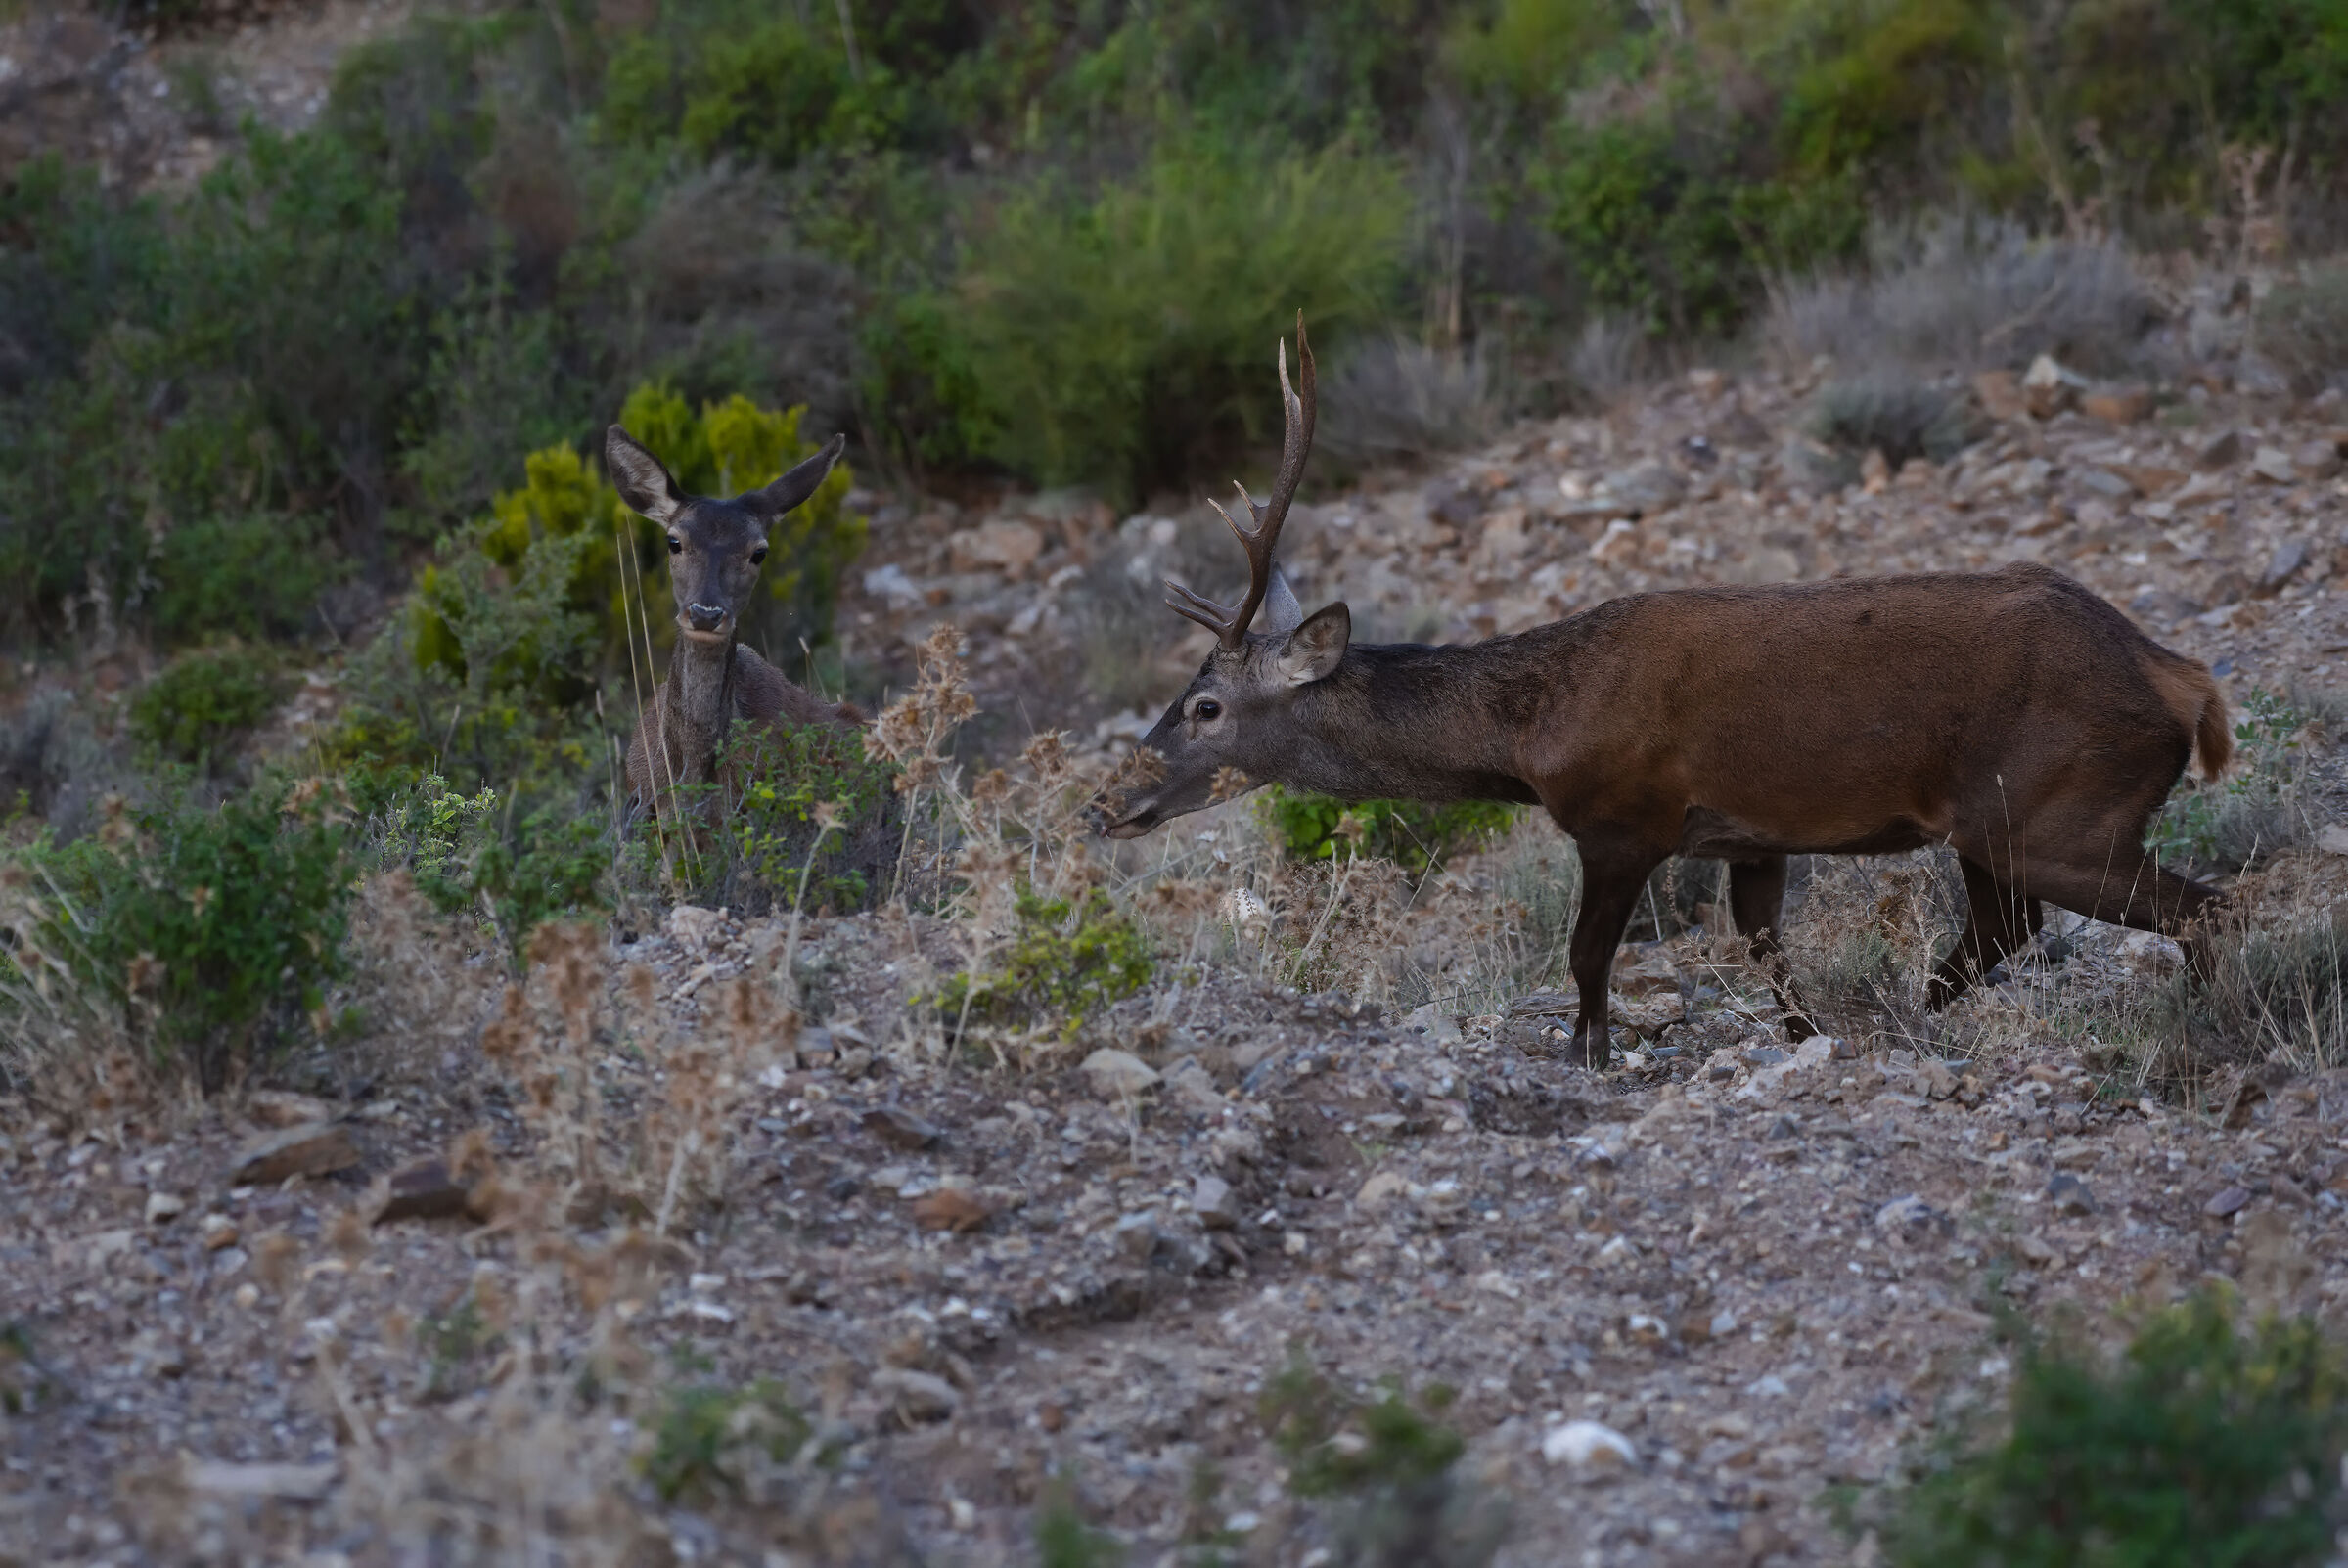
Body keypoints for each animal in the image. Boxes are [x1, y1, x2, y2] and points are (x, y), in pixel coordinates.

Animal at [1095, 315, 2234, 1067]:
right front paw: (1806, 1037)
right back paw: (1927, 1014)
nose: (1111, 803)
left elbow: (1587, 956)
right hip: (1998, 820)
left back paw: (2199, 1029)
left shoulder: (1623, 815)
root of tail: (2183, 681)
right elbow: (1761, 943)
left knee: (2199, 909)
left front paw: (1591, 1059)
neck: (1531, 732)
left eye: (1206, 707)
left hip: (2056, 805)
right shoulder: (1751, 833)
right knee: (2011, 925)